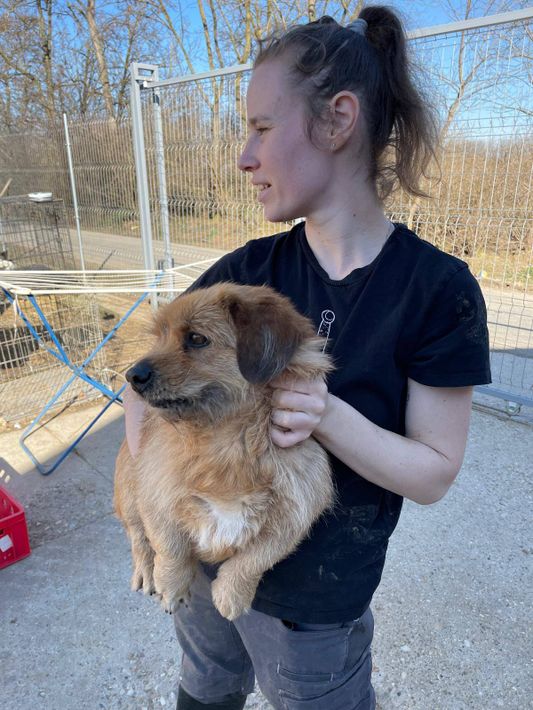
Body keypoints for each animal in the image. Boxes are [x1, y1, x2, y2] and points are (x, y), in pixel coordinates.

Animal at [114, 283, 334, 620]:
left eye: (196, 338)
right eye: (160, 336)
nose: (132, 376)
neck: (226, 445)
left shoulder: (296, 514)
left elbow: (255, 558)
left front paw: (232, 595)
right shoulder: (155, 496)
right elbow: (169, 547)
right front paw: (171, 586)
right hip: (127, 487)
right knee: (137, 535)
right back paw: (146, 571)